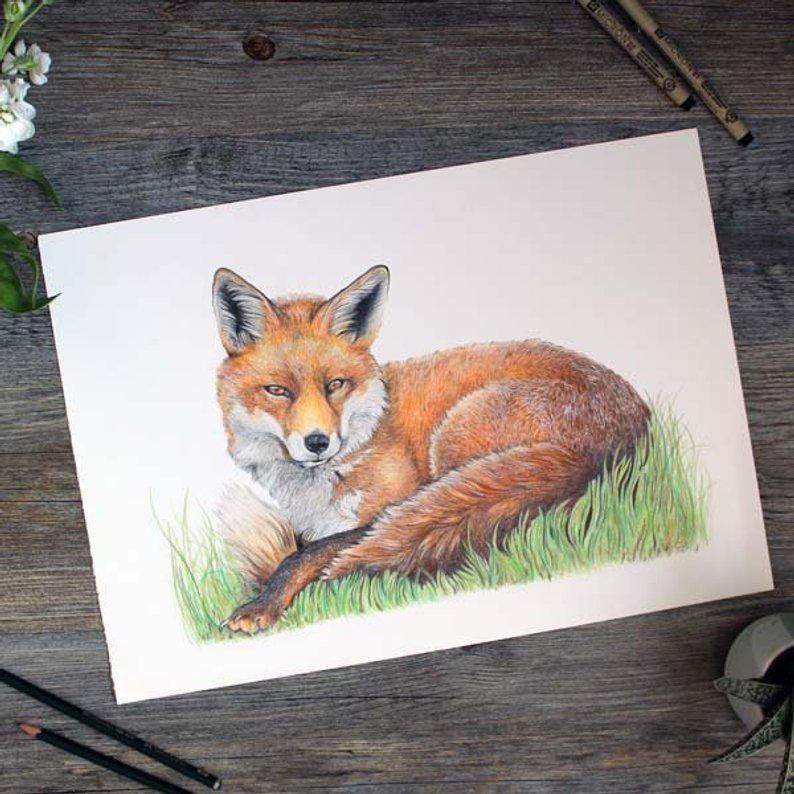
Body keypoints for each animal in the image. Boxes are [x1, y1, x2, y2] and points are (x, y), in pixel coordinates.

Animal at [212, 265, 650, 633]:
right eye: (277, 391)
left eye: (335, 384)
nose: (318, 441)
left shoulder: (388, 505)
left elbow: (303, 556)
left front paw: (261, 604)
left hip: (453, 435)